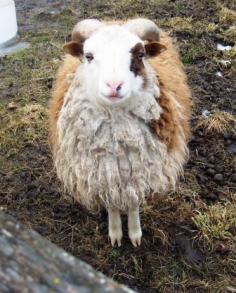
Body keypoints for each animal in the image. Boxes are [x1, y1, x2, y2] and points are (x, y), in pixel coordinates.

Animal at [48, 18, 191, 246]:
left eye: (140, 55)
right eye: (89, 56)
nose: (114, 86)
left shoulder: (138, 173)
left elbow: (133, 204)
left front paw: (134, 234)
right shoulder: (104, 175)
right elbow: (112, 204)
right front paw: (115, 234)